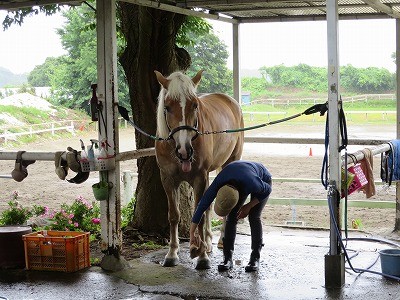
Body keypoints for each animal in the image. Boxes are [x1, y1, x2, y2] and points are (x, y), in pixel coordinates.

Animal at [155, 69, 245, 270]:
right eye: (167, 107)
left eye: (195, 105)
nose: (184, 150)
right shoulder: (167, 179)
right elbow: (174, 216)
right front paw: (172, 254)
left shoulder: (199, 178)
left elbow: (200, 213)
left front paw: (202, 257)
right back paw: (209, 241)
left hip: (229, 162)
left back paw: (221, 240)